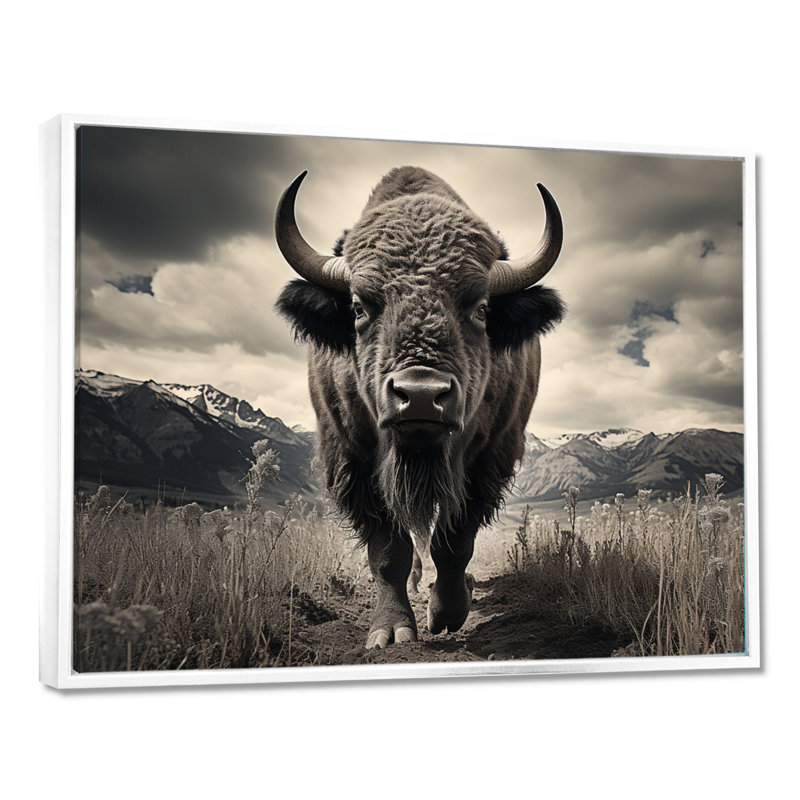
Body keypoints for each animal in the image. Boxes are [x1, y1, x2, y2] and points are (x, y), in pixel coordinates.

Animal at [276, 166, 564, 649]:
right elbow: (388, 551)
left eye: (481, 307)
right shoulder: (356, 463)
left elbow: (454, 543)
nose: (422, 394)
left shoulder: (485, 462)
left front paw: (446, 613)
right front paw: (390, 631)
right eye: (359, 307)